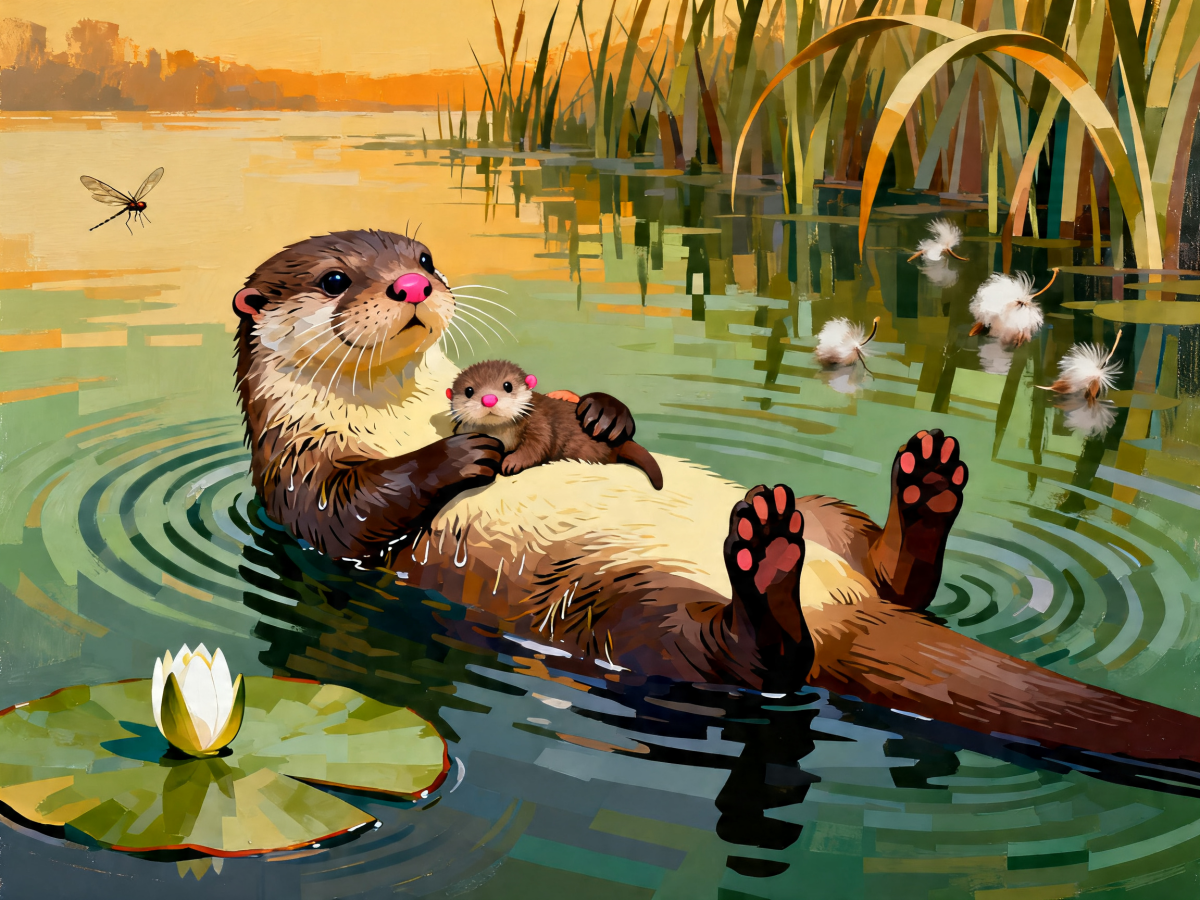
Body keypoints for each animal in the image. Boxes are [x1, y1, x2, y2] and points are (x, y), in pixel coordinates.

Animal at [449, 359, 664, 489]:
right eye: (469, 390)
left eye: (507, 385)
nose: (489, 399)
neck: (503, 434)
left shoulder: (539, 421)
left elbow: (537, 446)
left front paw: (512, 462)